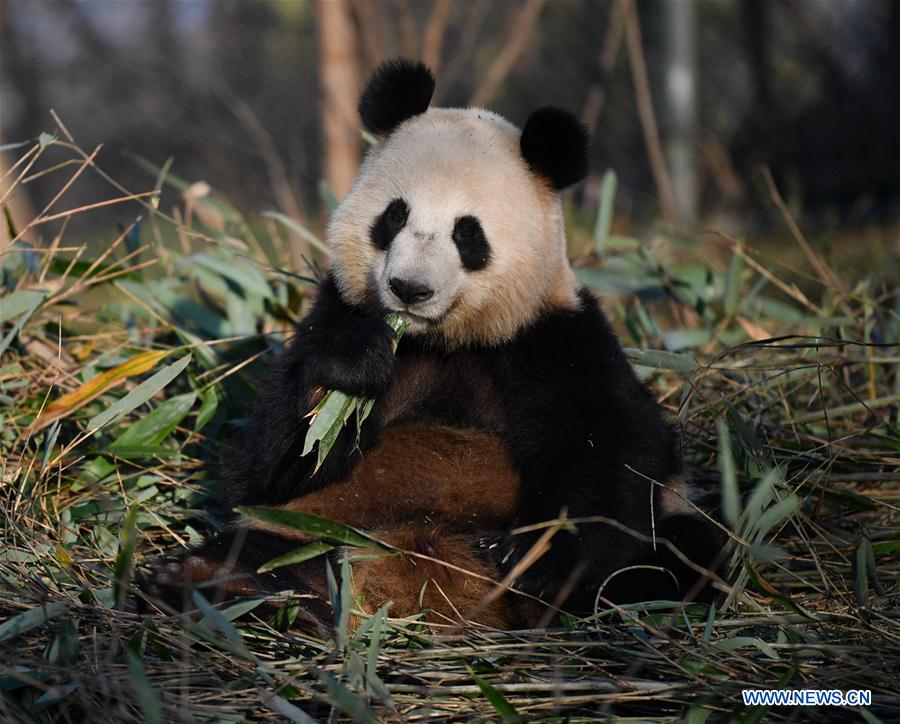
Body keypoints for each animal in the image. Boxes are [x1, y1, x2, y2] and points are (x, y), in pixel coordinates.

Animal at [146, 59, 724, 632]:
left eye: (467, 234)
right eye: (394, 216)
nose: (409, 288)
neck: (443, 339)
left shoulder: (556, 338)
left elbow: (615, 450)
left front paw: (539, 561)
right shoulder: (334, 313)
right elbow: (267, 469)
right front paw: (353, 366)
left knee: (681, 556)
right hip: (316, 529)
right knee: (258, 544)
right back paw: (221, 585)